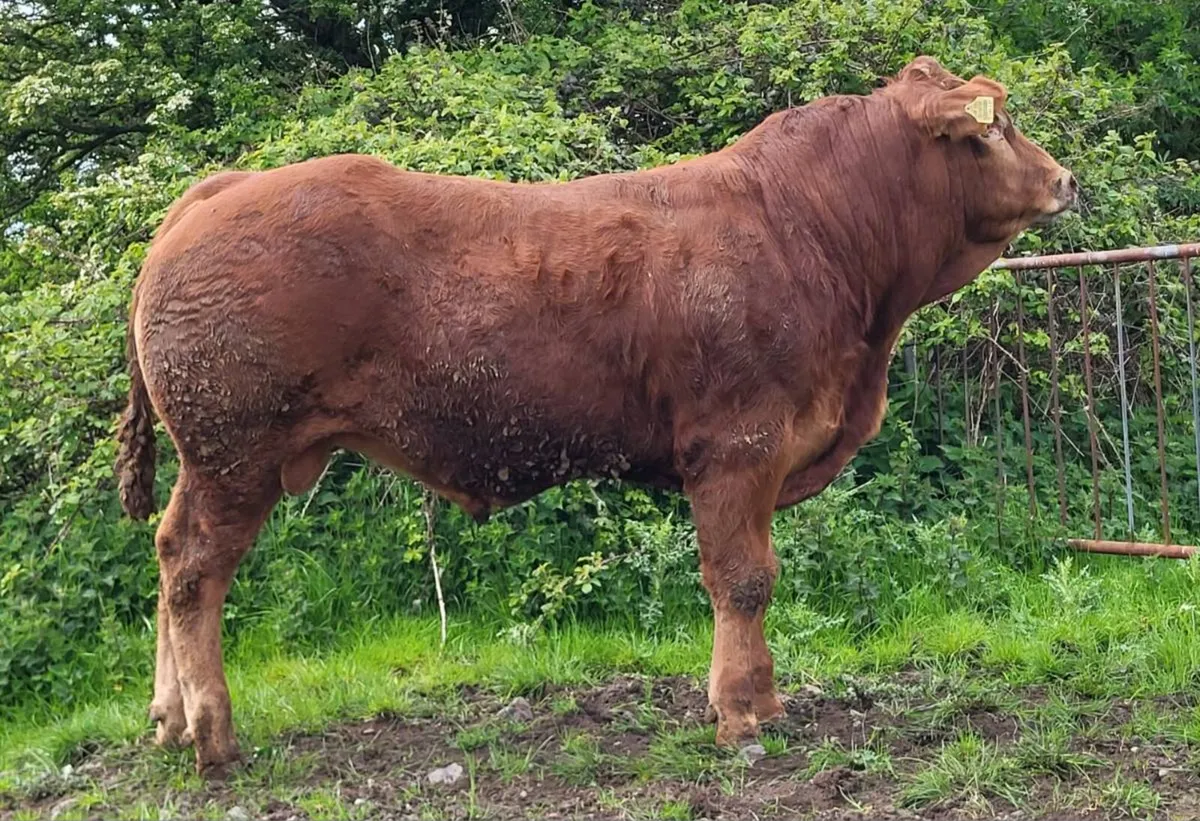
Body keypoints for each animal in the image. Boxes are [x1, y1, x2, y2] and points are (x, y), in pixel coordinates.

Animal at [115, 56, 1077, 776]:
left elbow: (757, 575)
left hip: (216, 458)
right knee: (194, 569)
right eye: (995, 126)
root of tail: (224, 188)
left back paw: (167, 719)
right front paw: (740, 716)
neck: (814, 231)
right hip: (234, 451)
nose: (1066, 179)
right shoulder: (737, 444)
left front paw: (766, 698)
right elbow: (743, 578)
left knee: (166, 553)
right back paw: (212, 734)